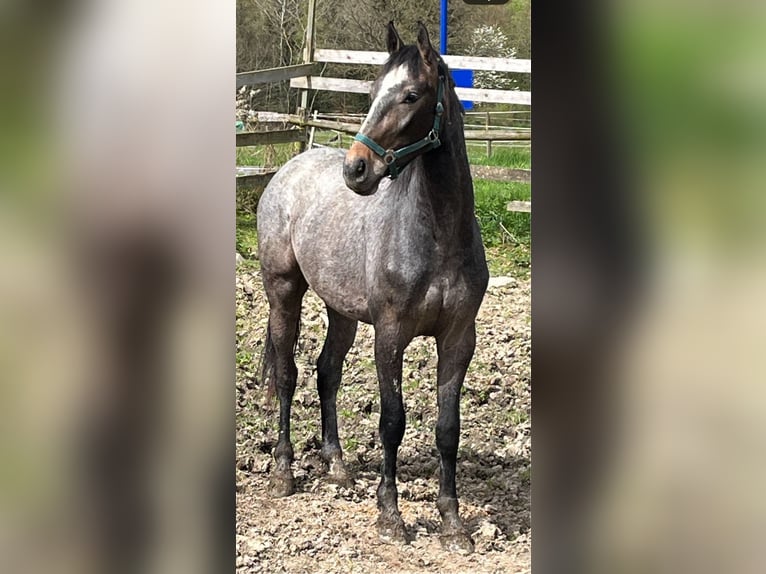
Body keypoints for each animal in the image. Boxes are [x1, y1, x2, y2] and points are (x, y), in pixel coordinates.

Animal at [255, 20, 488, 556]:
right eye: (372, 91)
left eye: (411, 94)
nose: (356, 169)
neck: (438, 236)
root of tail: (288, 170)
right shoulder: (390, 334)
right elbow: (392, 421)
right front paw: (390, 516)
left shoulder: (458, 338)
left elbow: (448, 428)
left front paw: (453, 524)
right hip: (283, 293)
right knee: (287, 374)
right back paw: (283, 472)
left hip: (340, 310)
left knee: (326, 372)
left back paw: (337, 467)